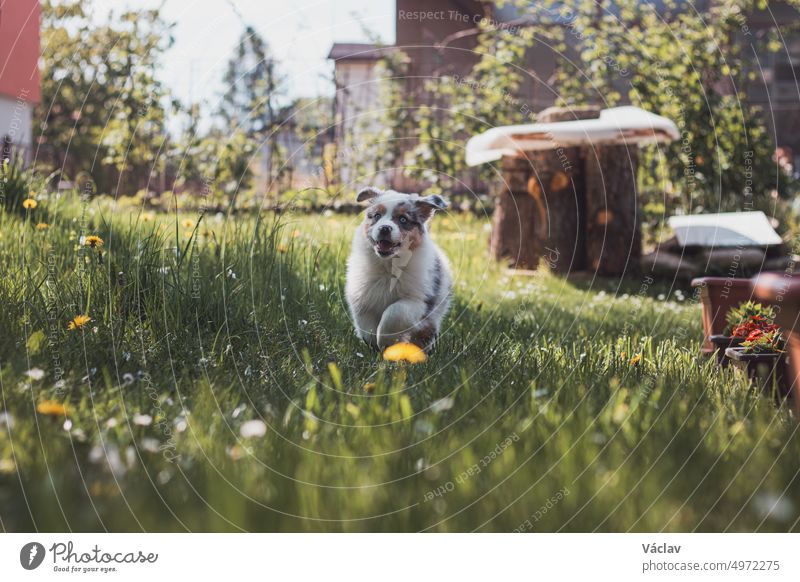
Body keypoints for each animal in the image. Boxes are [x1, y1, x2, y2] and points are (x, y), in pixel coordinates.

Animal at [346, 188, 454, 352]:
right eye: (377, 216)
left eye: (403, 219)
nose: (384, 228)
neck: (389, 265)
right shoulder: (362, 296)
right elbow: (366, 324)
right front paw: (372, 344)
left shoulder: (420, 301)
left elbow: (394, 313)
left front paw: (386, 343)